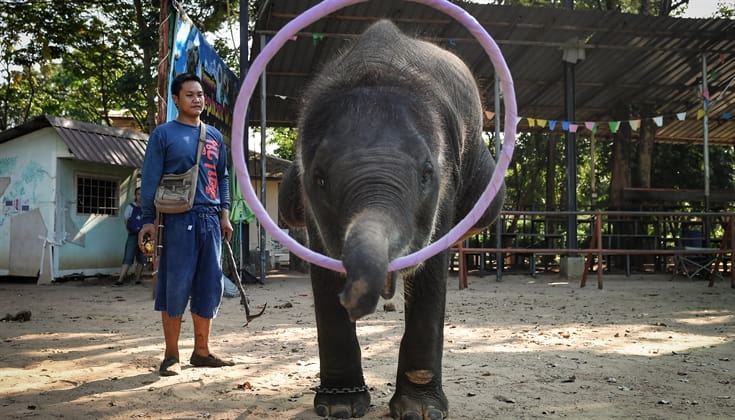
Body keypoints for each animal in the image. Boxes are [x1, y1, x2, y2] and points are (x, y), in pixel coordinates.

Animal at [278, 20, 505, 419]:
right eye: (319, 178)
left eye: (427, 173)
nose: (358, 299)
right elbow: (323, 272)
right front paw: (339, 407)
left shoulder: (445, 187)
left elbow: (431, 271)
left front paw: (419, 411)